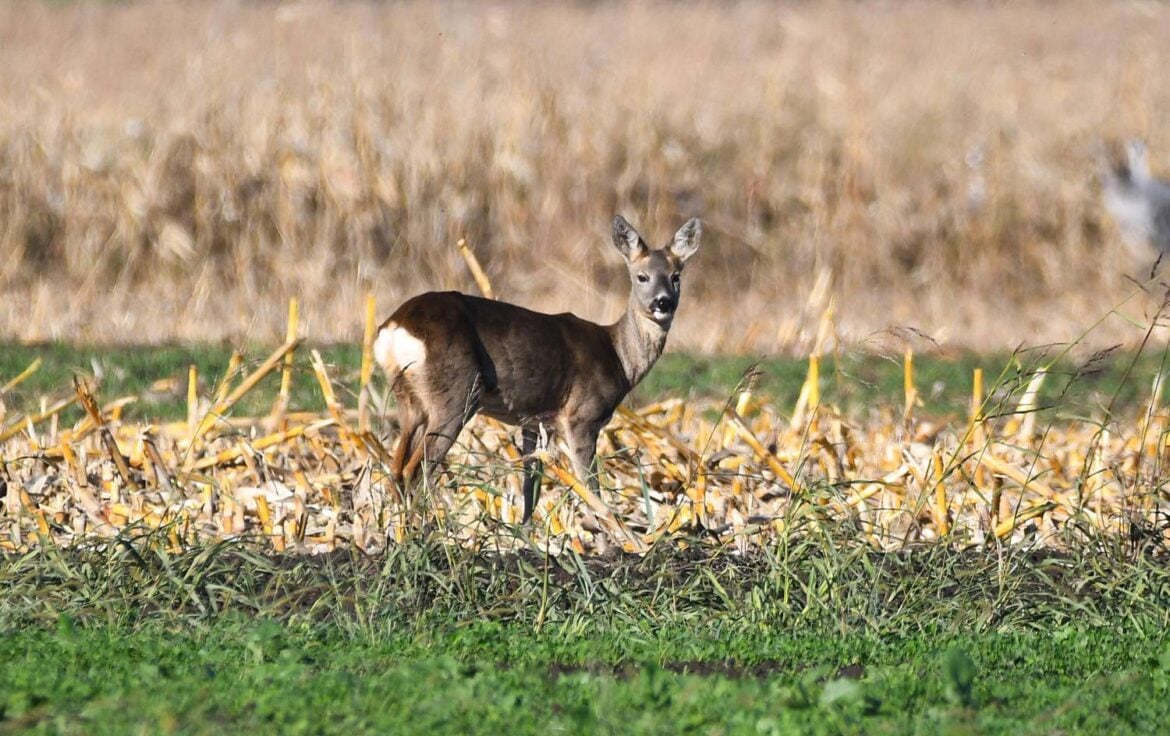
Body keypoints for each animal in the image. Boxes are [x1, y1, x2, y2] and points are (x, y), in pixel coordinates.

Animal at [376, 212, 702, 521]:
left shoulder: (535, 421)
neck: (618, 356)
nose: (662, 303)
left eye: (676, 276)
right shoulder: (582, 416)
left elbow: (530, 487)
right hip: (456, 394)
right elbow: (590, 486)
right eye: (641, 276)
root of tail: (396, 327)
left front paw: (526, 536)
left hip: (410, 400)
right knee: (417, 470)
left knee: (397, 471)